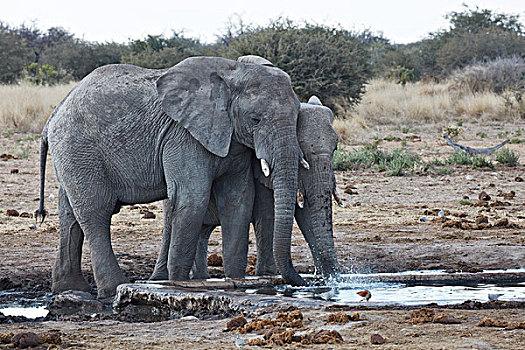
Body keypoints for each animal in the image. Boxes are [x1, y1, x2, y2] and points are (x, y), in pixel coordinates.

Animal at [39, 57, 308, 298]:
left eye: (297, 116)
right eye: (255, 119)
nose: (301, 283)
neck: (231, 73)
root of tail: (53, 115)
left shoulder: (233, 142)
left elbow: (238, 201)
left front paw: (236, 281)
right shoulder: (183, 136)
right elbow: (192, 197)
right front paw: (179, 284)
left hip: (72, 157)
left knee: (69, 215)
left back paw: (71, 288)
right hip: (79, 150)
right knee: (96, 212)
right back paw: (112, 289)